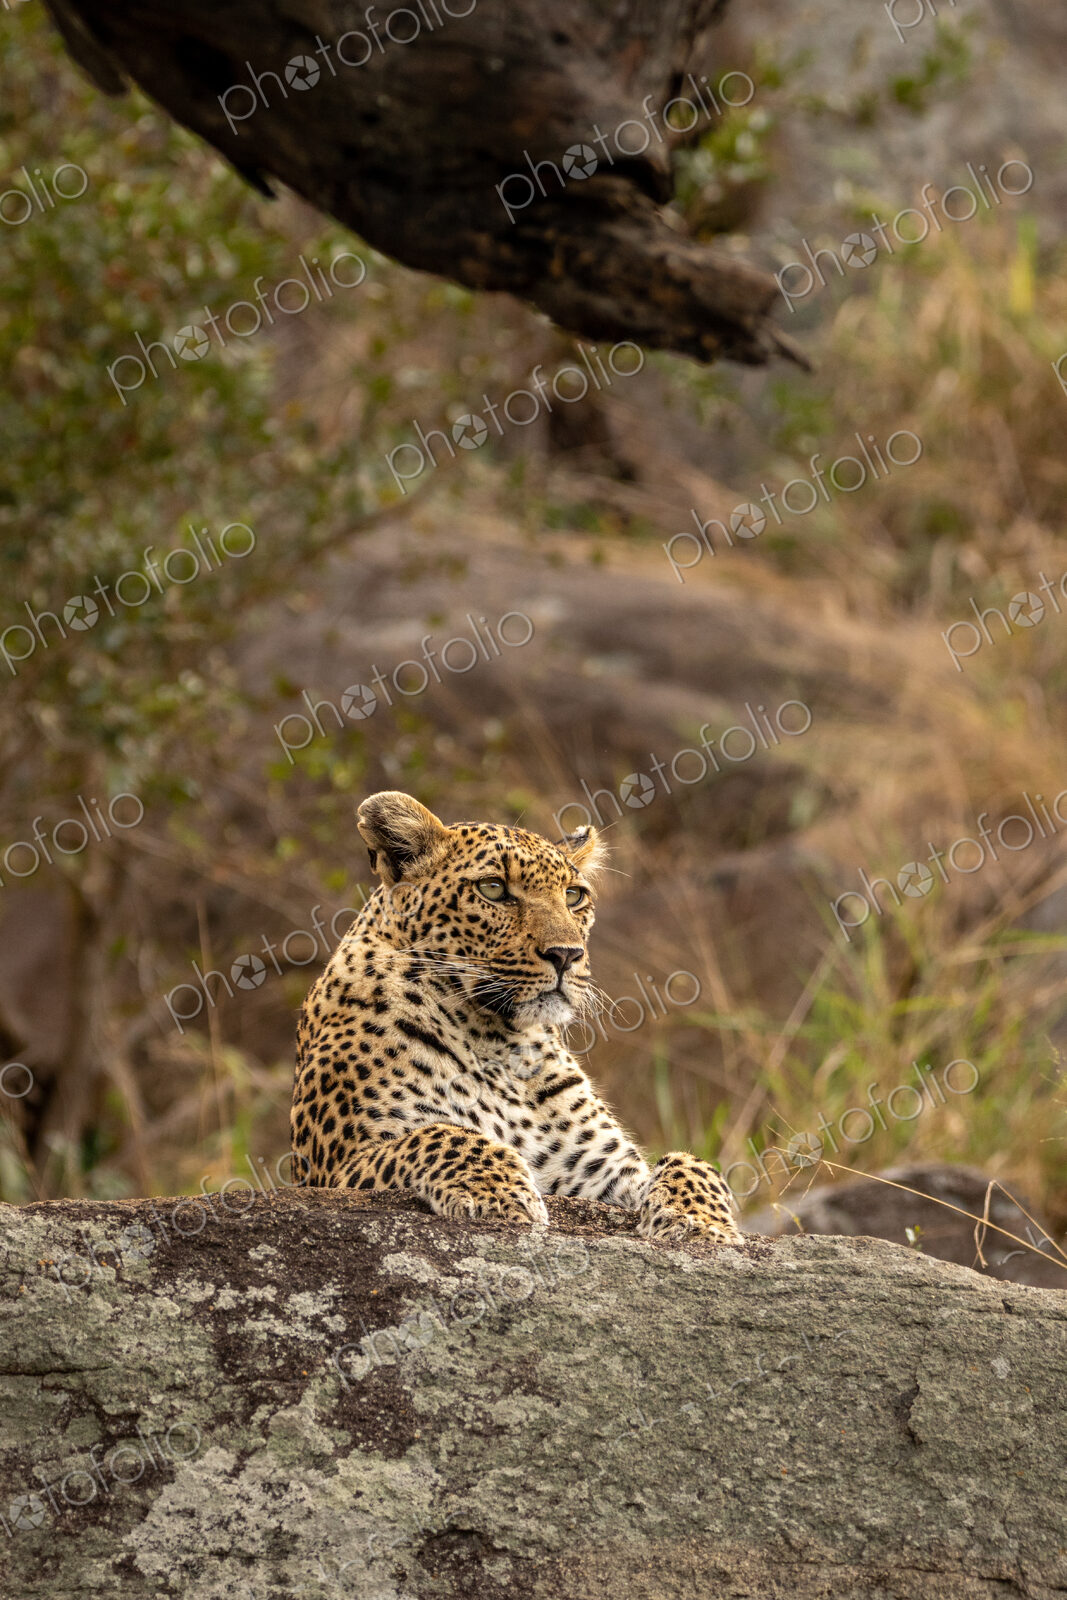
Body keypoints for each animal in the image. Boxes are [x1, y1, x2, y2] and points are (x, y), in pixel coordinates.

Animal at [291, 790, 741, 1244]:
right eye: (493, 889)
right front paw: (498, 1194)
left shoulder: (603, 1172)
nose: (566, 954)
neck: (499, 1045)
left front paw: (700, 1223)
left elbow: (694, 1163)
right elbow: (442, 1134)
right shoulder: (338, 1167)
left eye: (574, 896)